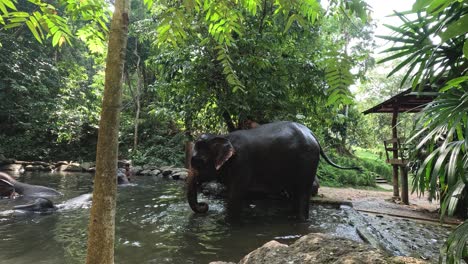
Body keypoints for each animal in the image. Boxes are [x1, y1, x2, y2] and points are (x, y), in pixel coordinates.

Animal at [187, 121, 362, 221]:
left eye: (197, 162)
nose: (204, 206)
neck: (223, 136)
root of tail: (312, 134)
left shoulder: (242, 163)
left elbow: (235, 194)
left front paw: (228, 223)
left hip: (307, 161)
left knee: (302, 191)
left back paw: (301, 220)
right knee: (293, 192)